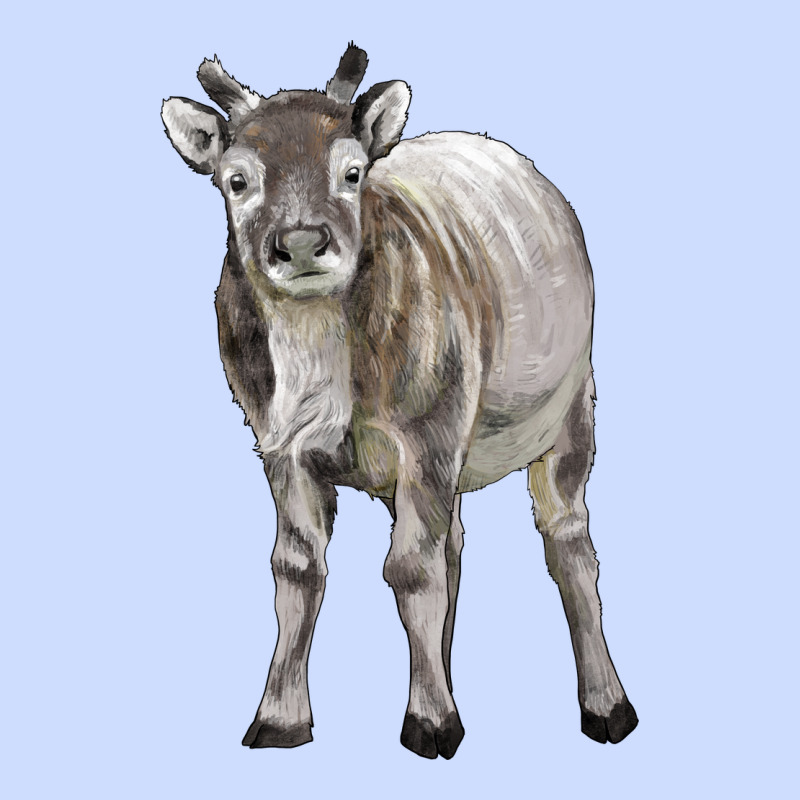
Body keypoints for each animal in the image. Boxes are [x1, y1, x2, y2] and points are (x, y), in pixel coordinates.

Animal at [161, 44, 638, 760]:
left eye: (352, 171)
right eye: (236, 179)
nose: (300, 243)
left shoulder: (429, 433)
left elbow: (410, 569)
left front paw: (430, 721)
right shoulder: (279, 446)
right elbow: (297, 567)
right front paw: (280, 718)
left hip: (571, 406)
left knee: (568, 540)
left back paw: (606, 704)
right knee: (454, 546)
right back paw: (451, 674)